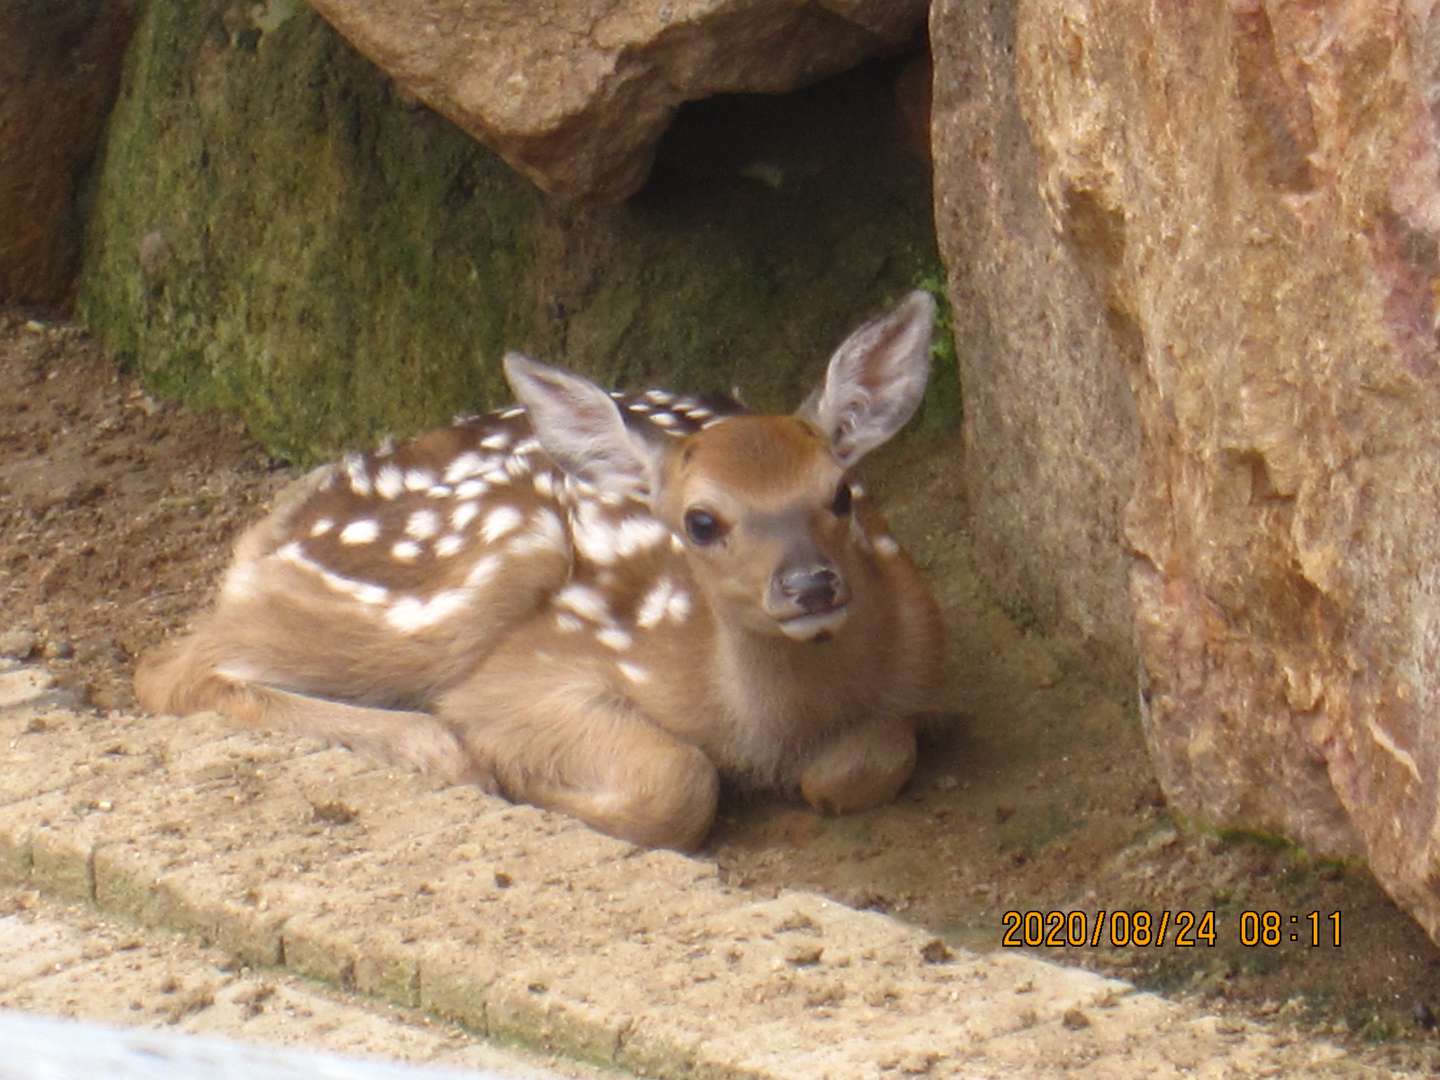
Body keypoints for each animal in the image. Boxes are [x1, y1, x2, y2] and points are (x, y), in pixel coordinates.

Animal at [135, 292, 944, 852]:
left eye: (839, 494)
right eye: (702, 522)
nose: (811, 585)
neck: (763, 728)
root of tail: (277, 526)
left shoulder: (920, 658)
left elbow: (861, 764)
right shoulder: (526, 677)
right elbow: (677, 782)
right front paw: (519, 776)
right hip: (482, 567)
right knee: (168, 668)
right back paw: (438, 748)